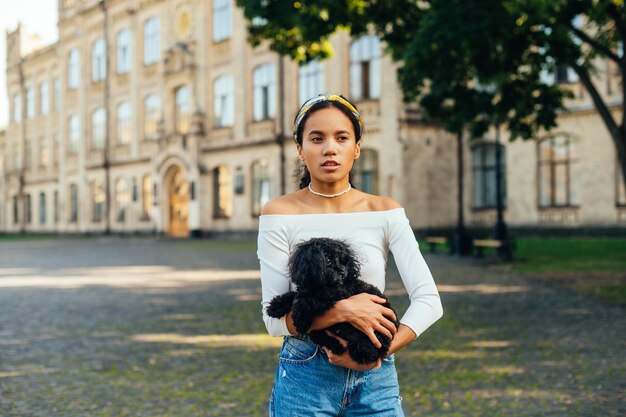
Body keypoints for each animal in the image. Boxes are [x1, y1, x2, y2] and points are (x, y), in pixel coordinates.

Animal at [266, 237, 398, 364]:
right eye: (328, 260)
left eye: (343, 261)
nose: (343, 271)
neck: (321, 286)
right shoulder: (308, 290)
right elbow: (296, 295)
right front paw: (276, 306)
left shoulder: (337, 294)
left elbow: (305, 300)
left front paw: (300, 320)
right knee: (318, 334)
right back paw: (336, 345)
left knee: (374, 349)